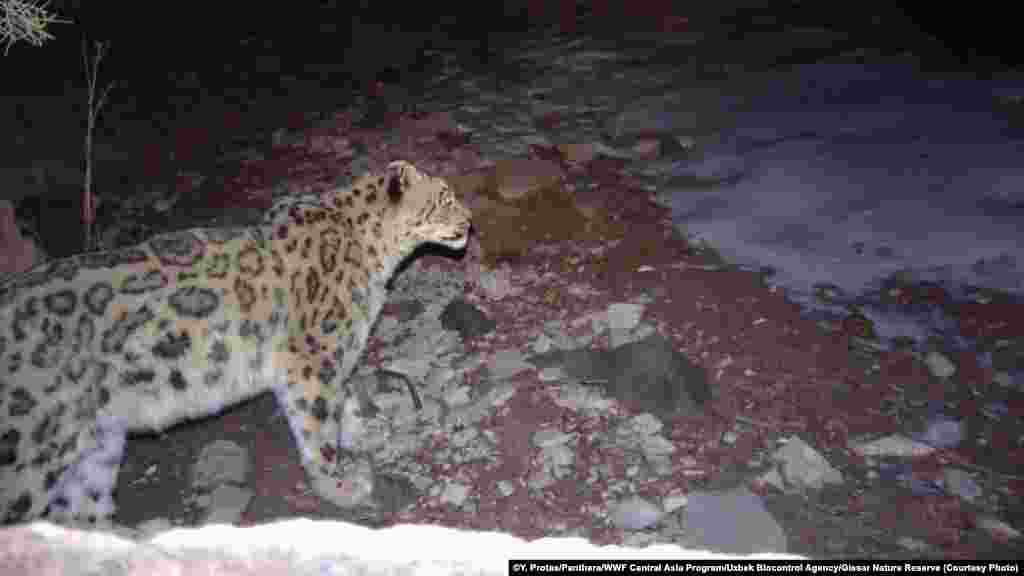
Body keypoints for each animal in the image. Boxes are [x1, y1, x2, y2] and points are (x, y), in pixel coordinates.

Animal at [0, 157, 471, 524]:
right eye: (444, 197)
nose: (469, 221)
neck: (376, 259)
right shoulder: (312, 359)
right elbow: (318, 424)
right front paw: (339, 485)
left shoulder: (333, 355)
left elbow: (346, 398)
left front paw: (364, 432)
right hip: (29, 455)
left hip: (98, 445)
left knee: (81, 508)